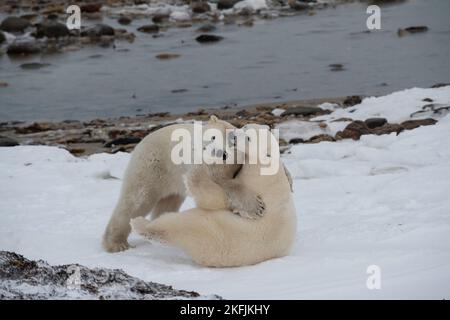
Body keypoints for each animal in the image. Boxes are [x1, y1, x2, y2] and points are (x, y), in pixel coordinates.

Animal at [102, 115, 264, 252]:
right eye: (212, 137)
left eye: (232, 143)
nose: (217, 152)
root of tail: (142, 141)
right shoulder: (202, 165)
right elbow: (213, 185)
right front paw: (255, 208)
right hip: (151, 166)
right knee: (137, 201)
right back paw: (116, 244)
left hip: (172, 181)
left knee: (167, 203)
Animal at [130, 125, 298, 268]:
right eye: (244, 127)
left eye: (249, 138)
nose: (232, 135)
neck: (266, 169)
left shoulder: (256, 183)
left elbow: (218, 201)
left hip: (210, 231)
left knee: (176, 224)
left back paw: (139, 223)